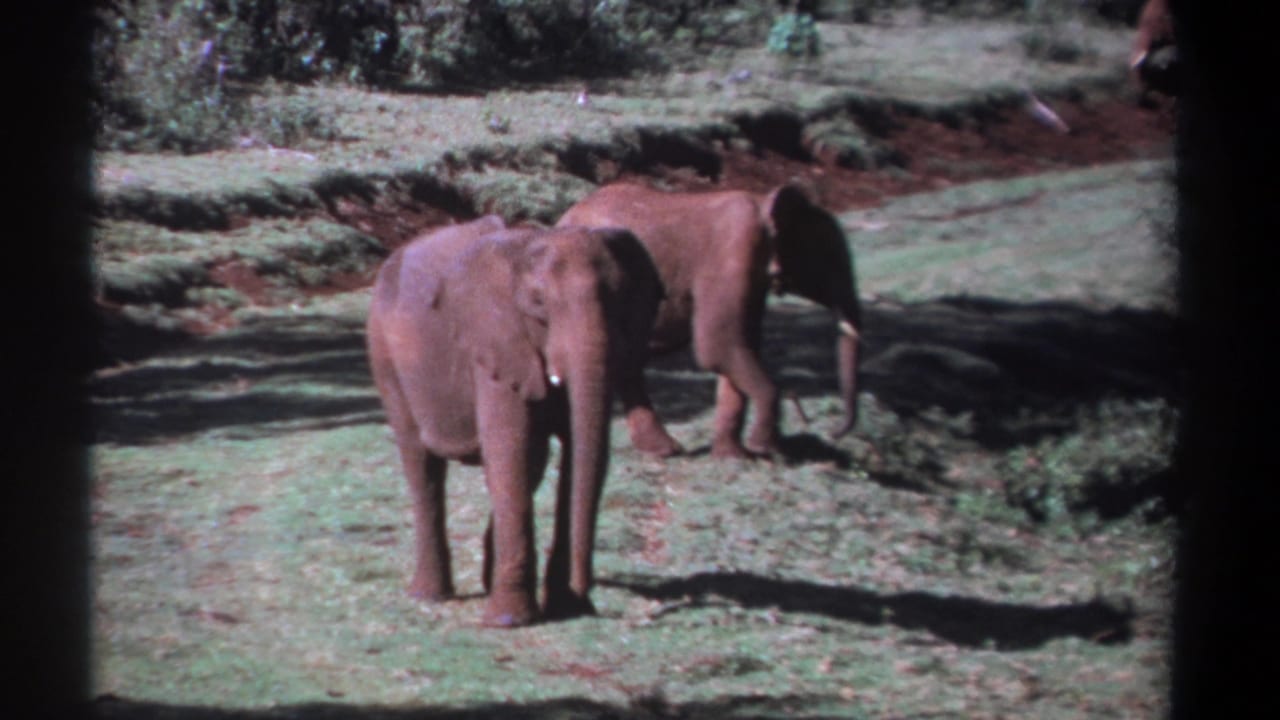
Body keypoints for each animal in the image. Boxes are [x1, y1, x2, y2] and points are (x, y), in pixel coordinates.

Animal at [365, 217, 662, 627]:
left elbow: (561, 451)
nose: (586, 594)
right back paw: (430, 596)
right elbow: (512, 449)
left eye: (622, 299)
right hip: (385, 355)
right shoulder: (496, 342)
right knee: (422, 464)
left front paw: (564, 607)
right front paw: (509, 621)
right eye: (538, 304)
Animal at [556, 182, 861, 460]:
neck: (763, 203)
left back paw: (663, 450)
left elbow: (740, 347)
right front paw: (766, 449)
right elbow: (719, 345)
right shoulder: (732, 254)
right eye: (829, 258)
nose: (834, 433)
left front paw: (735, 457)